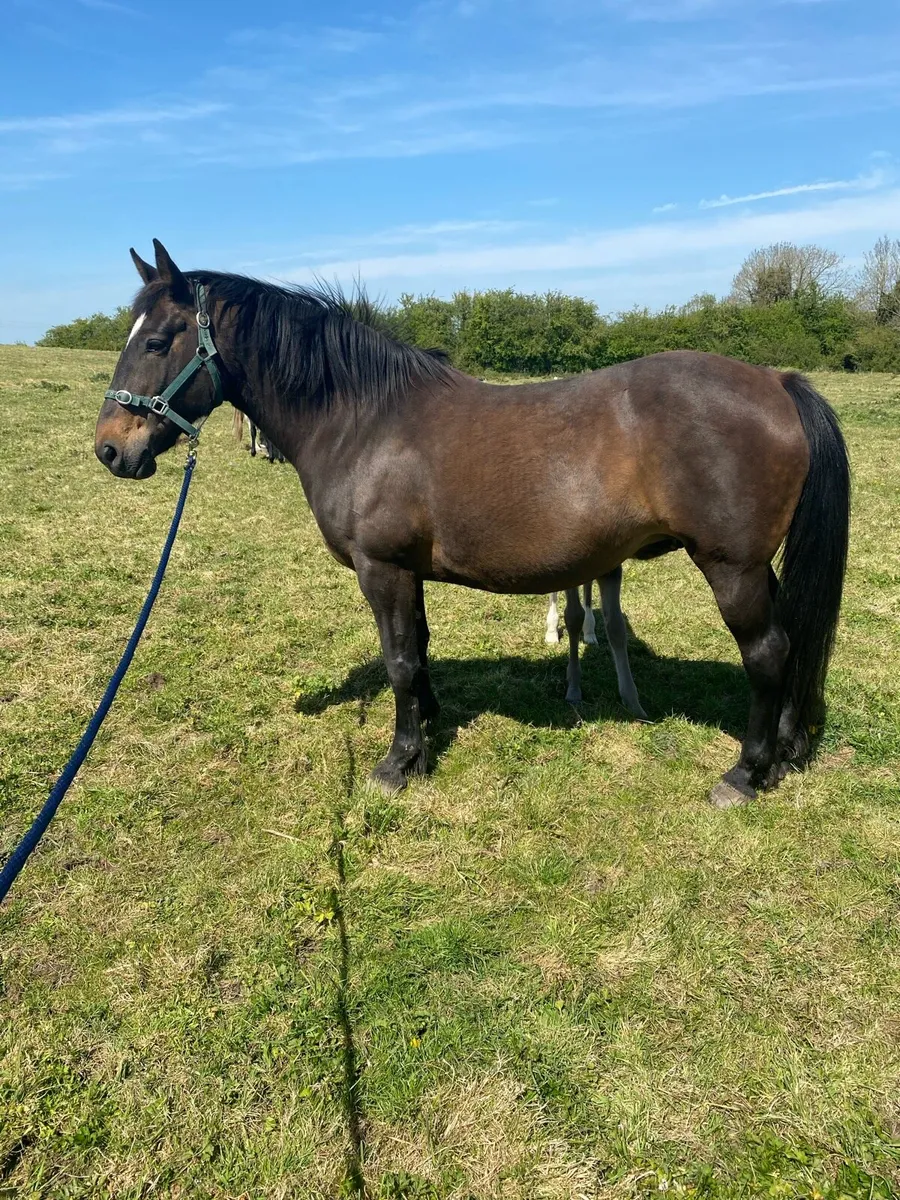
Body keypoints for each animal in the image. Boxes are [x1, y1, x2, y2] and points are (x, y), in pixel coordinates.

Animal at [95, 240, 850, 809]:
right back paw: (785, 751)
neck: (364, 418)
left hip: (732, 567)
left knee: (768, 653)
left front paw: (398, 762)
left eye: (158, 341)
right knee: (792, 642)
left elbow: (399, 659)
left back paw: (745, 773)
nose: (109, 449)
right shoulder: (406, 571)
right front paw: (426, 729)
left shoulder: (381, 568)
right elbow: (419, 649)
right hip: (756, 569)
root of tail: (776, 382)